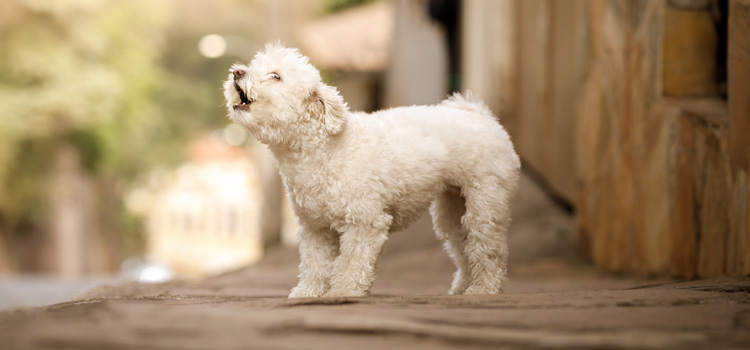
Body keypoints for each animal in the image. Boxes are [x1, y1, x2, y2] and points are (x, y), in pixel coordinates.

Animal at [223, 44, 524, 298]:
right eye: (253, 66)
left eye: (276, 76)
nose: (237, 71)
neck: (323, 150)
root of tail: (481, 116)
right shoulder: (315, 229)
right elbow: (314, 264)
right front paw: (309, 292)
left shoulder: (365, 222)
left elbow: (351, 261)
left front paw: (343, 291)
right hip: (452, 211)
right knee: (462, 246)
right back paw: (462, 287)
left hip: (486, 202)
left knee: (488, 248)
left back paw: (484, 288)